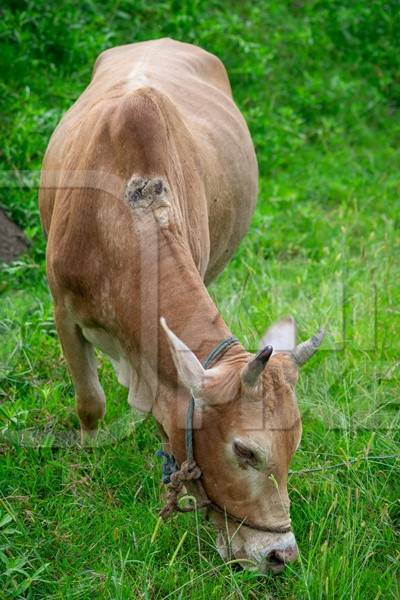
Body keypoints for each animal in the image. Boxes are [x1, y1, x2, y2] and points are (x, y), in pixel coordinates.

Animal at [39, 39, 324, 576]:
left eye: (295, 445)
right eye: (245, 451)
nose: (280, 555)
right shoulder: (62, 307)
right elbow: (90, 402)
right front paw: (88, 461)